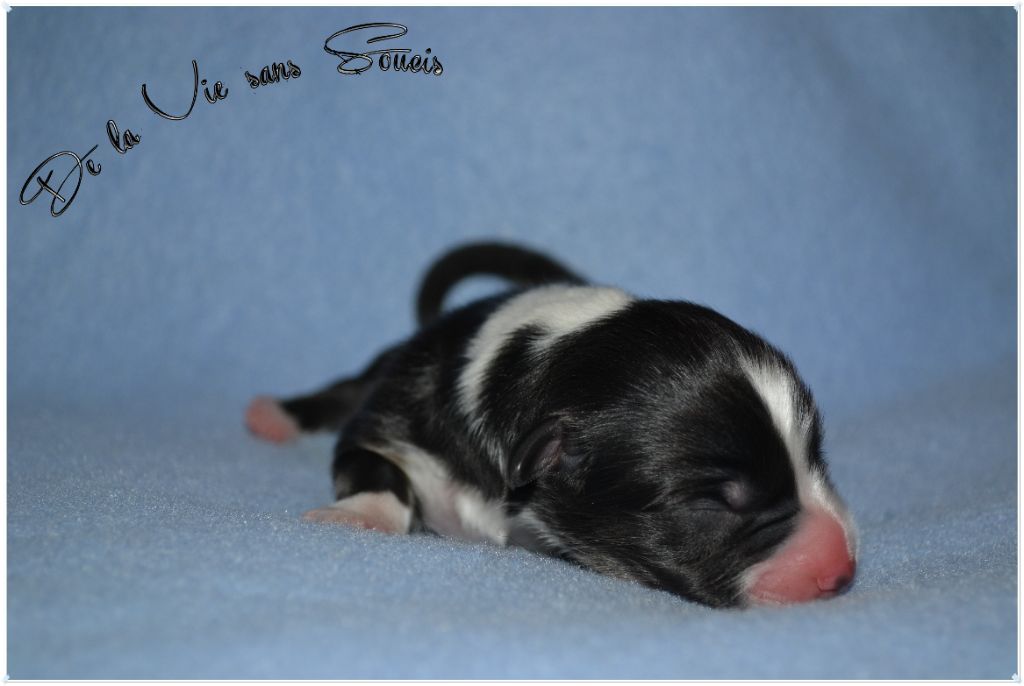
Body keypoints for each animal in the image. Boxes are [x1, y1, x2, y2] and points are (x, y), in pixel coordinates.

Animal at [246, 242, 857, 607]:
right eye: (716, 502)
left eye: (817, 459)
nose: (842, 570)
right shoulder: (396, 417)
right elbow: (375, 465)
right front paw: (361, 517)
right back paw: (275, 416)